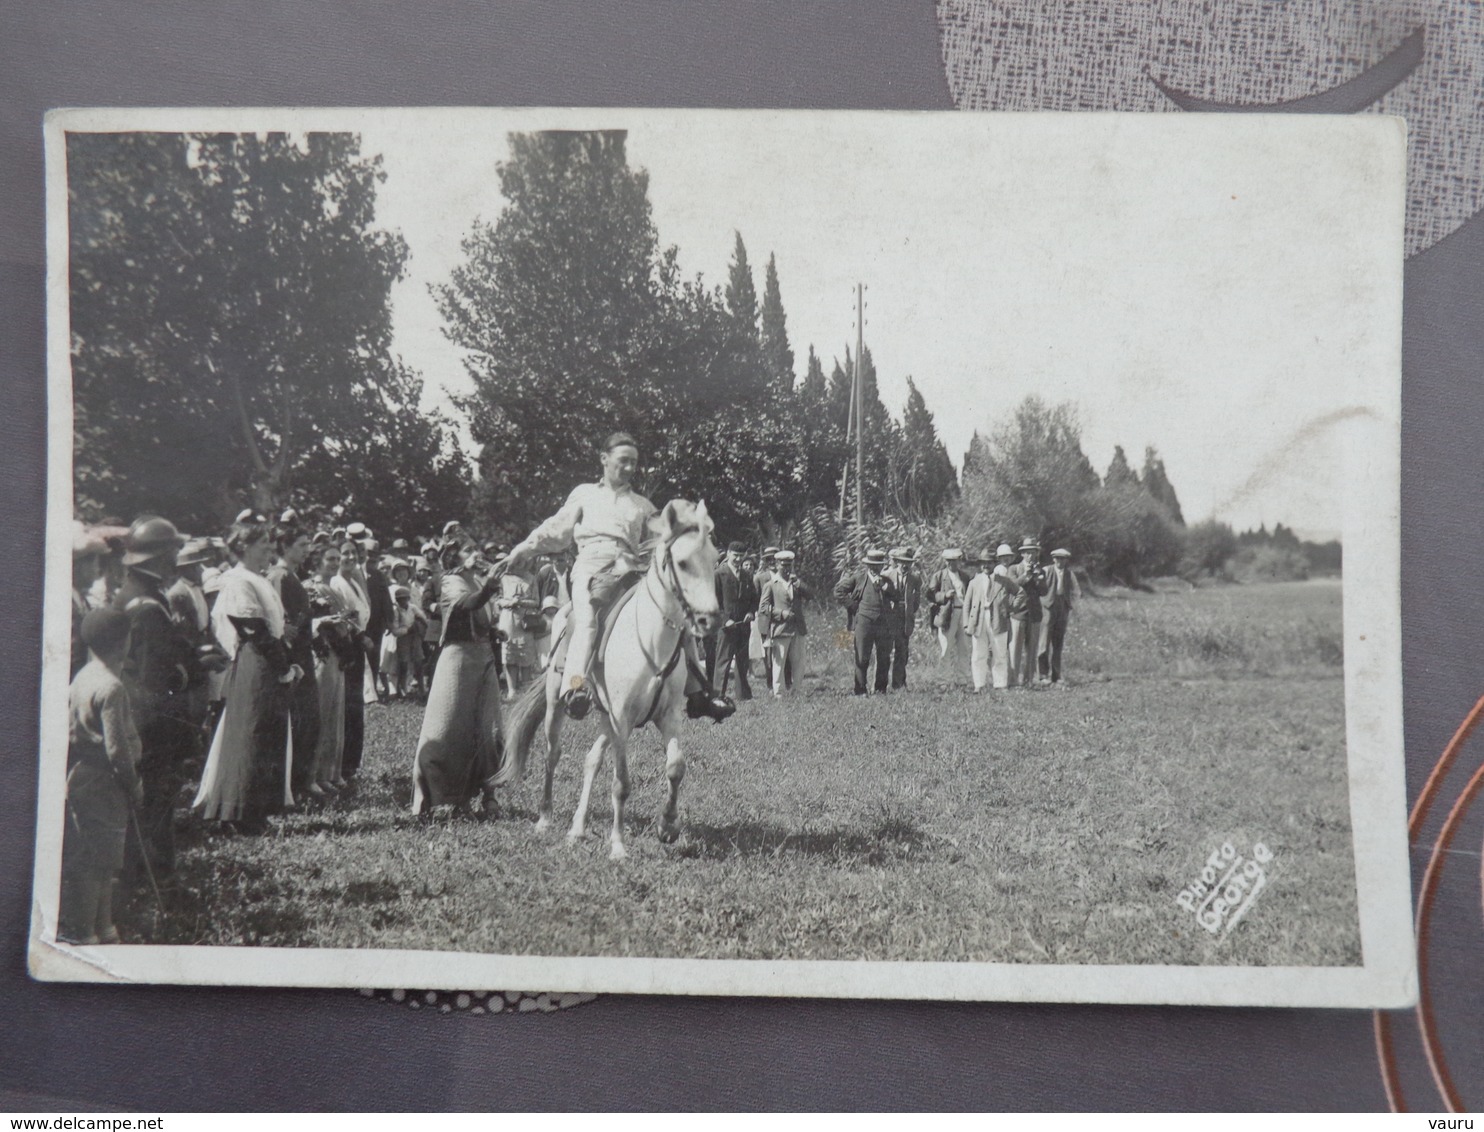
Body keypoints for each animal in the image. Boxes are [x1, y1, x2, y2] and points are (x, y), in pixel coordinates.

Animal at [495, 501, 721, 860]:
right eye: (683, 562)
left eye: (714, 560)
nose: (709, 619)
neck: (649, 640)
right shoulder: (621, 719)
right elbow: (621, 782)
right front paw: (618, 845)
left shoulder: (667, 716)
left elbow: (675, 767)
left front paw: (667, 826)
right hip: (558, 707)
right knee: (553, 755)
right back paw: (545, 818)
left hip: (604, 718)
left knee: (591, 760)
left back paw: (577, 828)